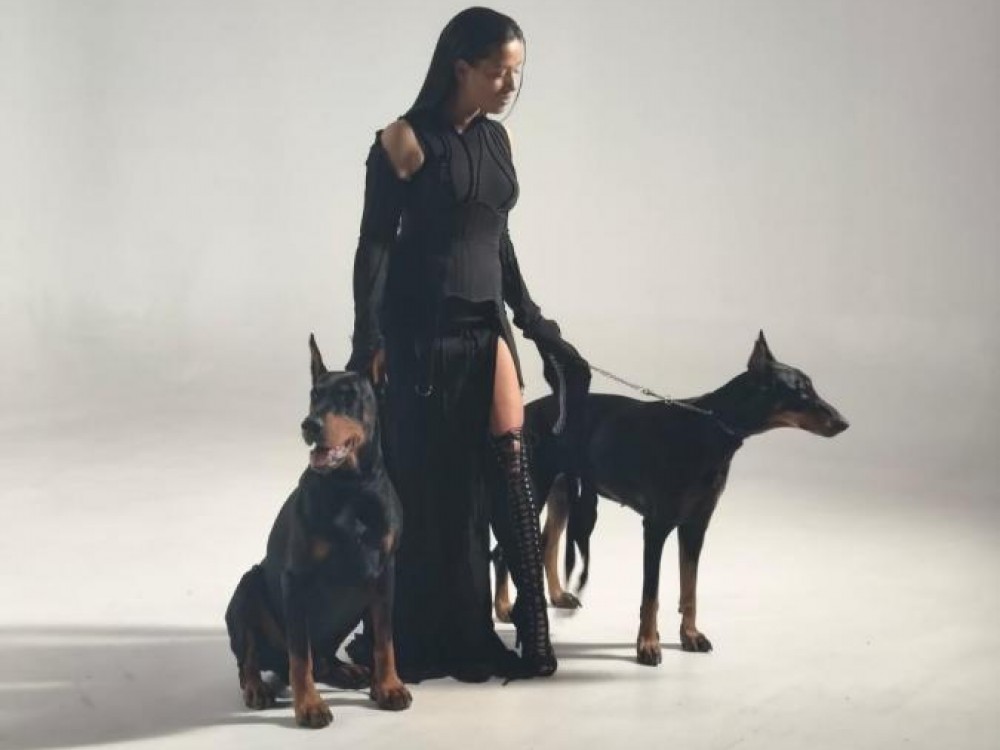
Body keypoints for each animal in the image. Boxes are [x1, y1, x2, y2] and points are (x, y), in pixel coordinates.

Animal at [224, 335, 411, 727]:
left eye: (349, 396)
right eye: (314, 394)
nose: (310, 424)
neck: (350, 488)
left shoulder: (384, 571)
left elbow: (384, 638)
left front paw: (388, 686)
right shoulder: (296, 579)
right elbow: (299, 654)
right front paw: (309, 705)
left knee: (321, 656)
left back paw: (346, 670)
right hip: (247, 589)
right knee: (251, 659)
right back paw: (257, 687)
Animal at [493, 331, 848, 665]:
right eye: (801, 392)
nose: (844, 422)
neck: (709, 427)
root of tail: (521, 413)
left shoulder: (696, 524)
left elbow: (689, 587)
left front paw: (690, 636)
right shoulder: (656, 525)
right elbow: (651, 594)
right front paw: (648, 645)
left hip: (564, 490)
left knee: (547, 542)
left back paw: (555, 596)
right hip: (534, 486)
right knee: (503, 551)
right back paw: (505, 608)